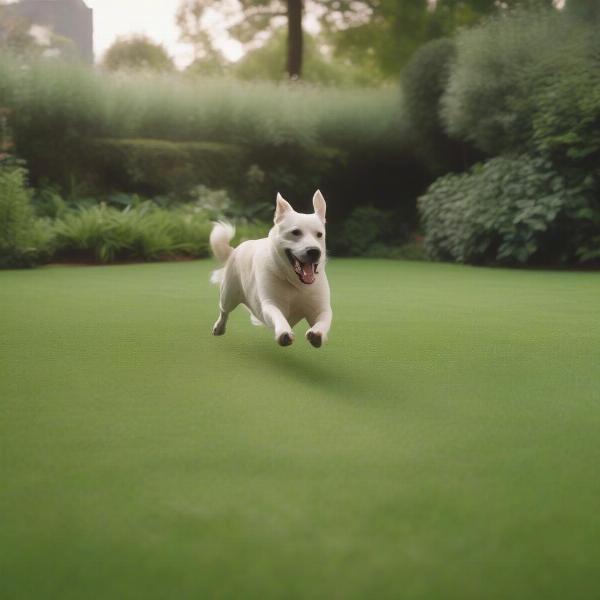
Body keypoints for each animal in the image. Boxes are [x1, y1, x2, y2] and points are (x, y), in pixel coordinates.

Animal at [210, 188, 332, 346]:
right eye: (295, 232)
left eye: (319, 234)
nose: (314, 251)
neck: (295, 283)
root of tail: (234, 250)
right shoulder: (270, 304)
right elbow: (277, 315)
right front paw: (284, 333)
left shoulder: (321, 308)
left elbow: (324, 320)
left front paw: (317, 334)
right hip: (228, 293)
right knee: (224, 310)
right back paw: (219, 327)